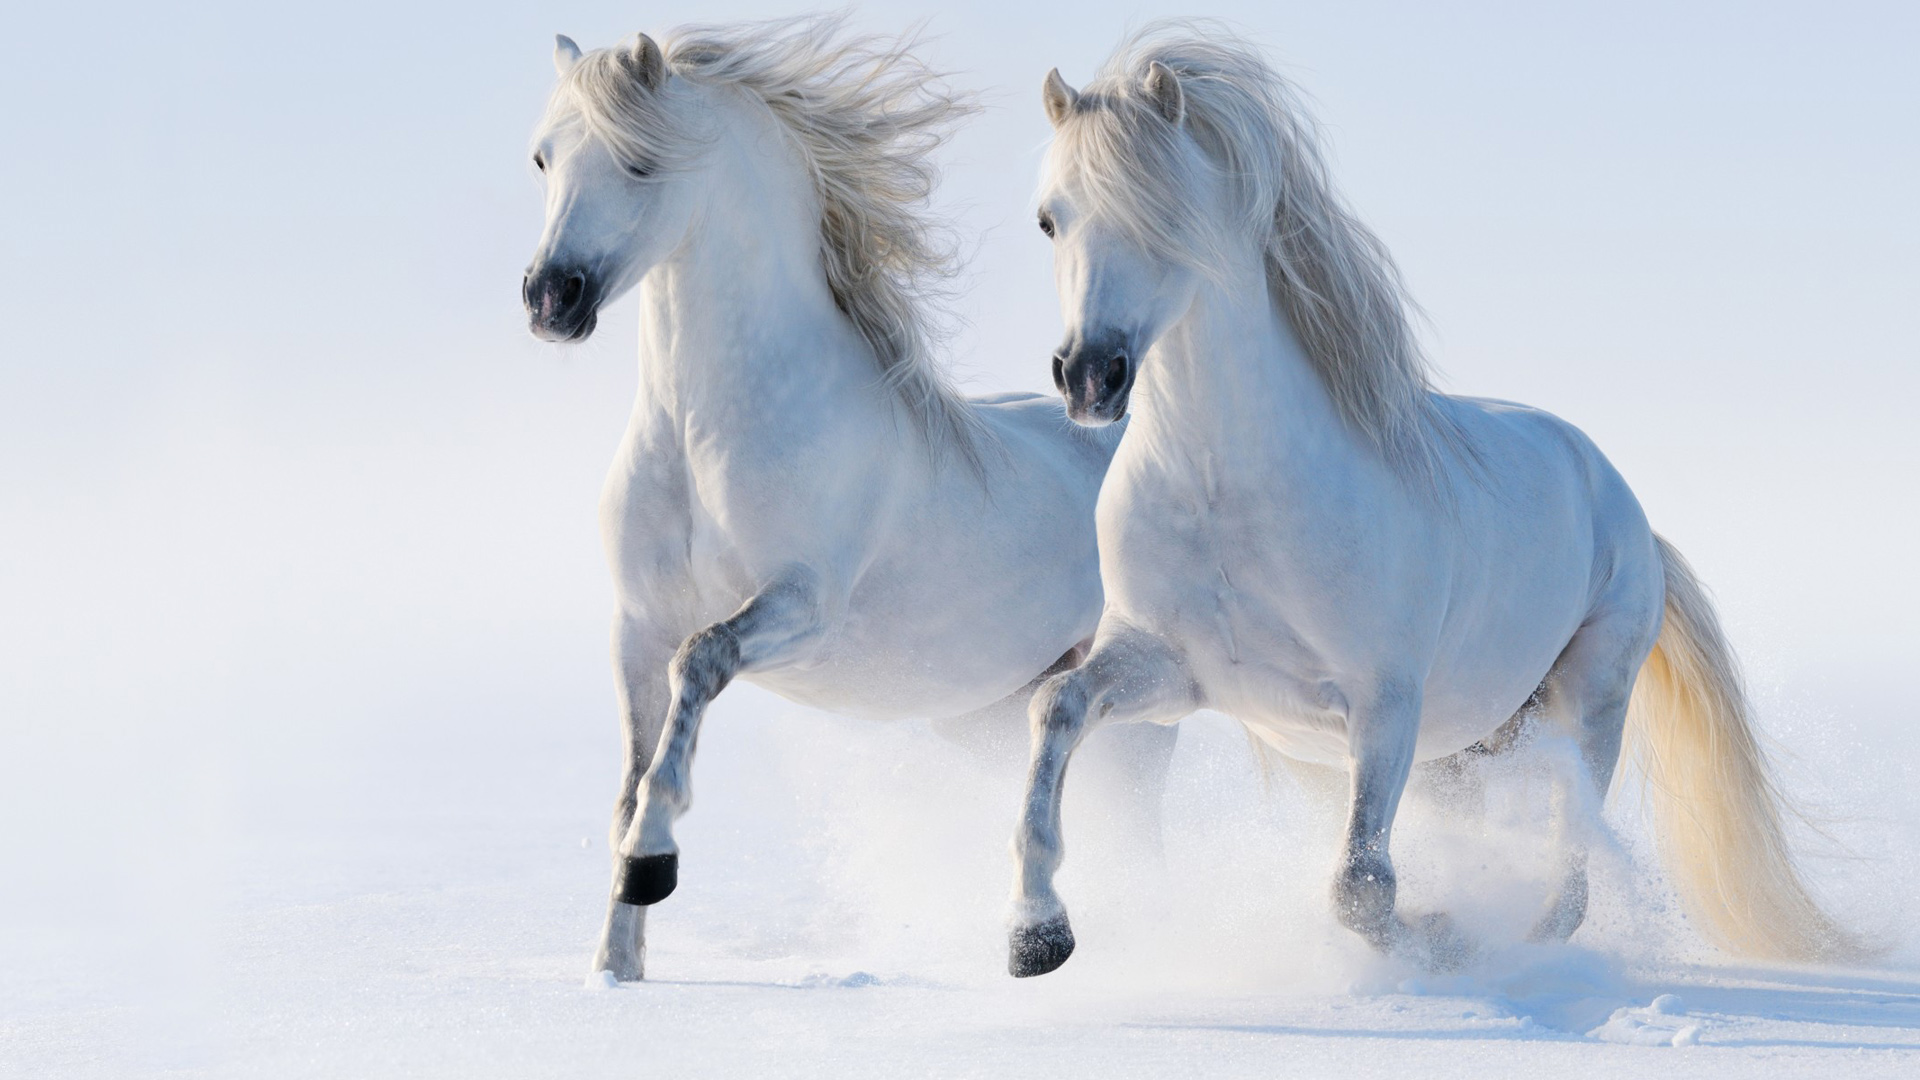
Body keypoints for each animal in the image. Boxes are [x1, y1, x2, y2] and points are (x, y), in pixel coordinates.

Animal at [518, 16, 1175, 980]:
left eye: (639, 162)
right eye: (544, 157)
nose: (549, 299)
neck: (702, 433)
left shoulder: (801, 606)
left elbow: (700, 667)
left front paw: (653, 865)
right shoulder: (635, 625)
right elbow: (629, 781)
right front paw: (616, 967)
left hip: (1140, 706)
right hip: (987, 715)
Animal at [1006, 23, 1858, 976]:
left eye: (1164, 213)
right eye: (1049, 218)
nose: (1090, 375)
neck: (1229, 492)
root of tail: (1627, 509)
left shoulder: (1384, 704)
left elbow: (1361, 888)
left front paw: (1442, 938)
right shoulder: (1169, 669)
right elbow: (1055, 706)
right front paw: (1036, 933)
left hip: (1586, 703)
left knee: (1568, 870)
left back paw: (1521, 946)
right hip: (1466, 748)